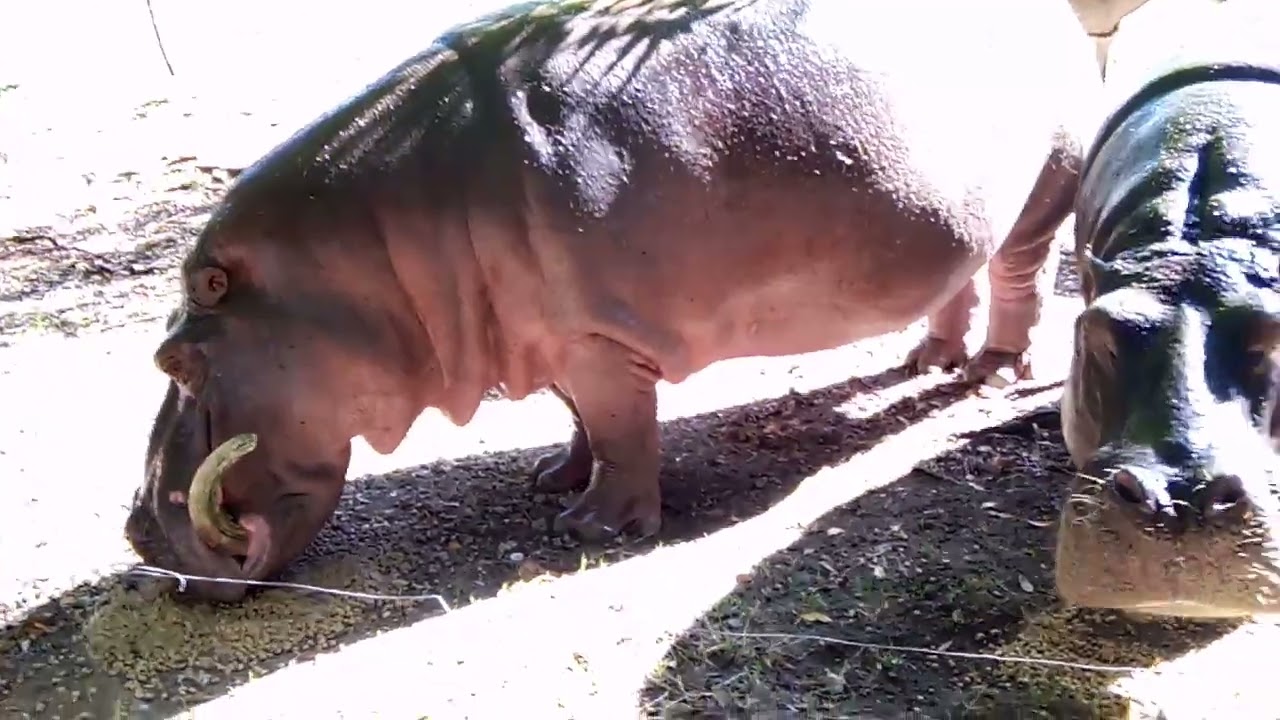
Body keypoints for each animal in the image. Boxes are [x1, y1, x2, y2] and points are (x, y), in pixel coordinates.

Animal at [126, 0, 1101, 601]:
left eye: (175, 356)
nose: (138, 535)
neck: (366, 259)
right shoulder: (549, 335)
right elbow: (578, 418)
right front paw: (552, 478)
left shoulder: (596, 338)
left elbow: (621, 425)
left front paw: (592, 531)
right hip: (960, 209)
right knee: (960, 274)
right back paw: (925, 360)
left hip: (1048, 184)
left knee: (1017, 276)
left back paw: (988, 374)